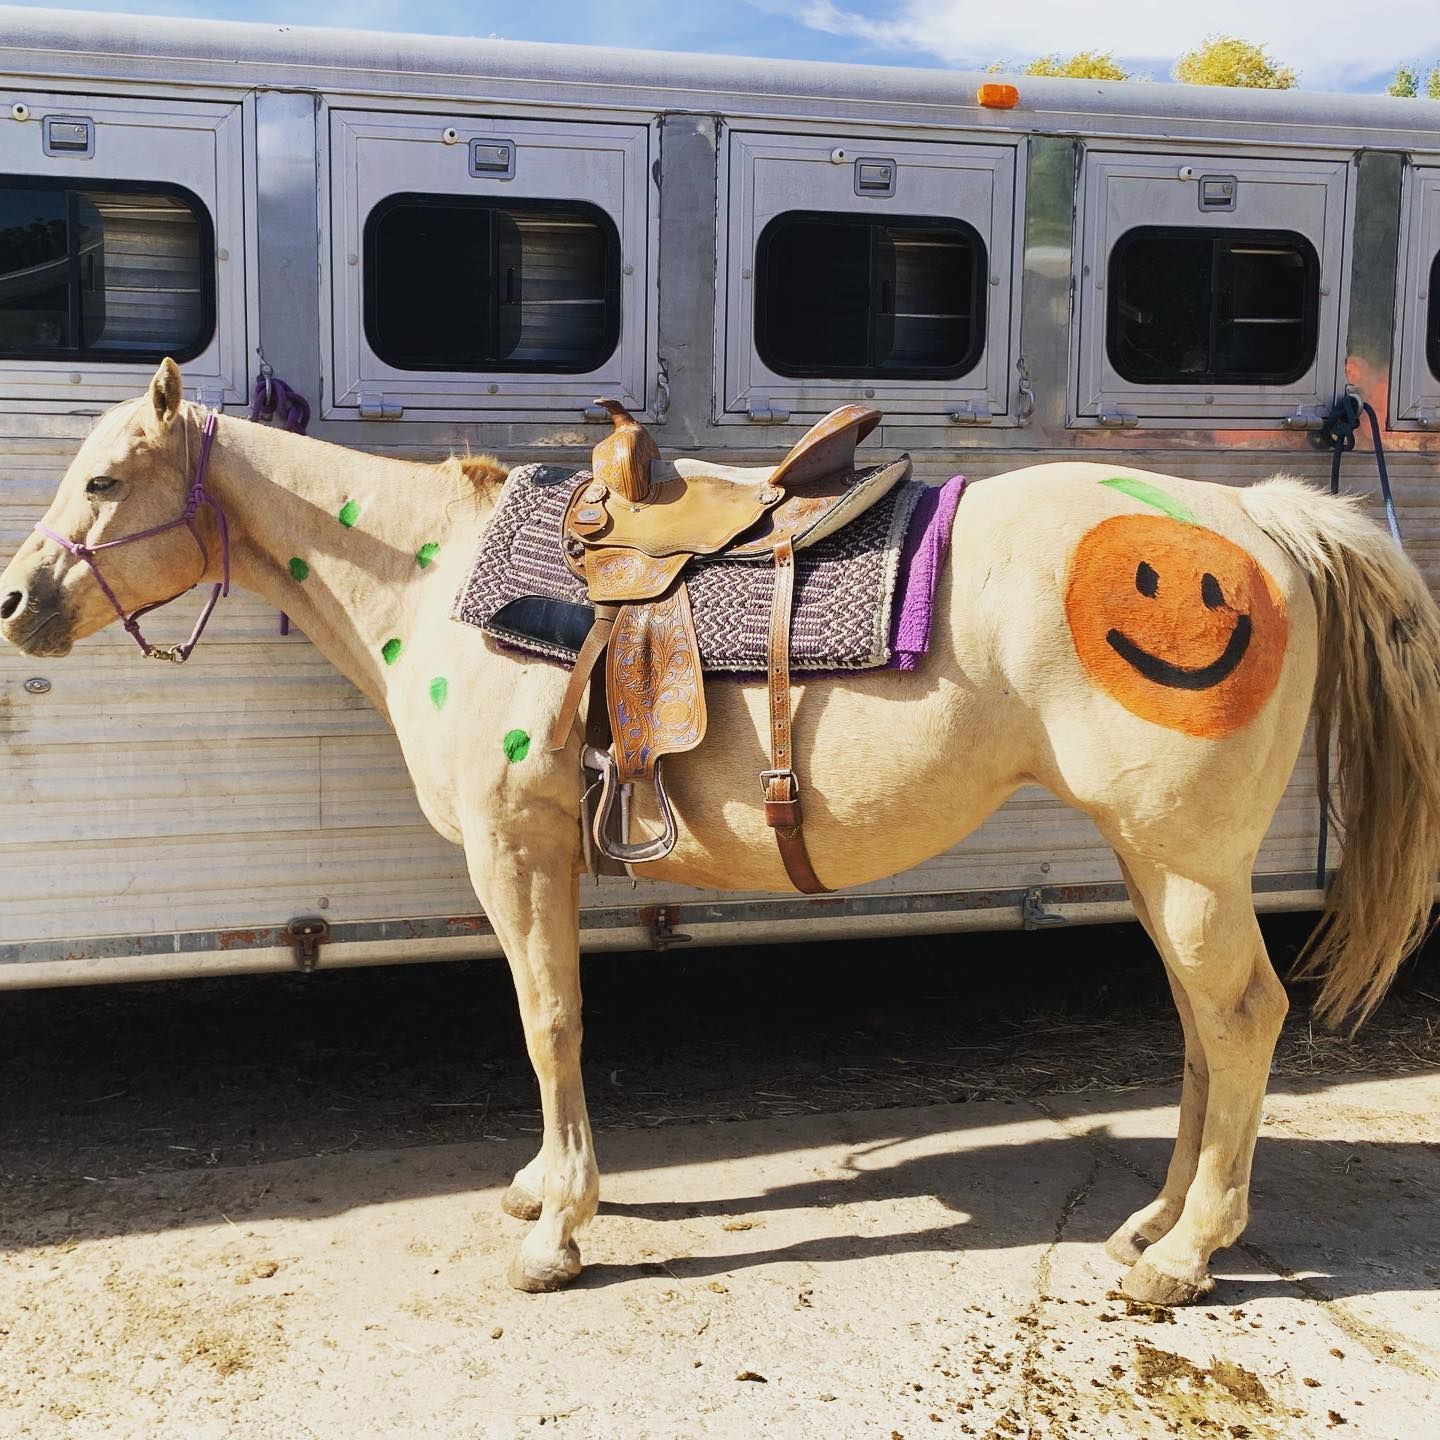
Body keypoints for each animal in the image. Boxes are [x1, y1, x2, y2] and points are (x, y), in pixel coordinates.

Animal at [4, 358, 1439, 1303]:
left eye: (106, 477)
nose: (17, 599)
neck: (440, 577)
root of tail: (1255, 520)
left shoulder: (516, 848)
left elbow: (549, 1021)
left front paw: (559, 1229)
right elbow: (553, 1022)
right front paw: (545, 1186)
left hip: (1188, 862)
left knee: (1243, 1016)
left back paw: (1187, 1257)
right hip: (1160, 860)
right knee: (1203, 1024)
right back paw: (1153, 1224)